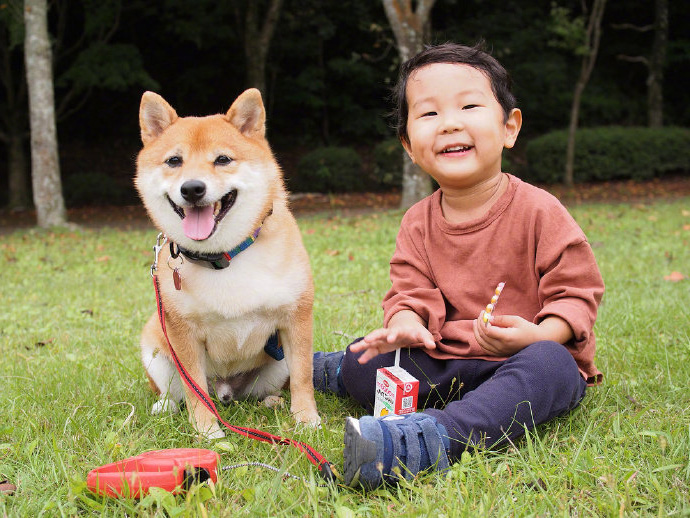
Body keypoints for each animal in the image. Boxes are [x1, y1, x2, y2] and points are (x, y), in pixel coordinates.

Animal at [134, 88, 320, 438]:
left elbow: (304, 377)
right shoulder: (182, 332)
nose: (192, 188)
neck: (226, 257)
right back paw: (165, 406)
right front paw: (207, 431)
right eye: (174, 161)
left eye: (222, 159)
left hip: (276, 365)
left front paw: (306, 420)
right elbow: (194, 390)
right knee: (175, 392)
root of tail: (224, 389)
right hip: (154, 343)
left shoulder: (296, 318)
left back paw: (273, 401)